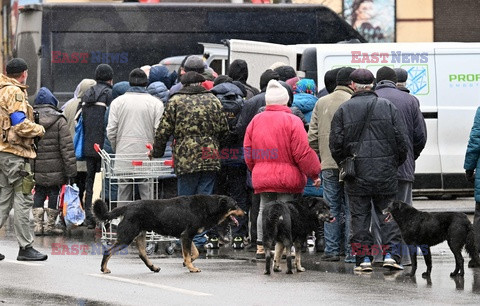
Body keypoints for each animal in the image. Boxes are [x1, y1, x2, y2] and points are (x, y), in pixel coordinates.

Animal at [94, 195, 244, 274]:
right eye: (235, 205)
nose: (245, 213)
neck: (208, 206)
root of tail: (128, 206)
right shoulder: (187, 235)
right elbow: (188, 254)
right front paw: (191, 267)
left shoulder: (186, 237)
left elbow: (193, 253)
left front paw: (187, 263)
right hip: (127, 237)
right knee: (108, 251)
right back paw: (103, 268)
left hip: (139, 235)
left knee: (142, 255)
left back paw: (153, 267)